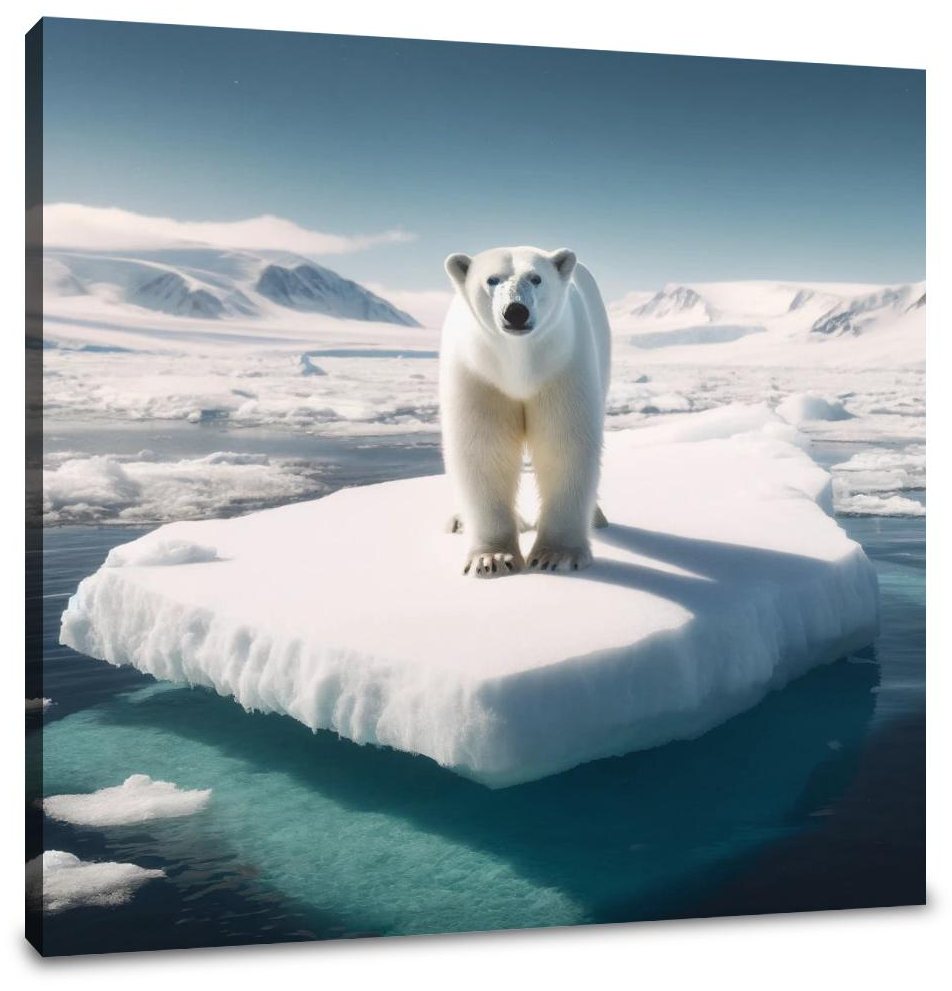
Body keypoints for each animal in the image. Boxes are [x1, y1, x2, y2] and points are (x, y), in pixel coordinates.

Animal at [439, 244, 611, 578]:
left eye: (536, 278)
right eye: (492, 279)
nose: (515, 311)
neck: (518, 362)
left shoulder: (562, 365)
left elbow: (564, 445)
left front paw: (556, 556)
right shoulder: (478, 373)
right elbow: (483, 448)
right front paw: (491, 559)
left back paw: (597, 516)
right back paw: (459, 520)